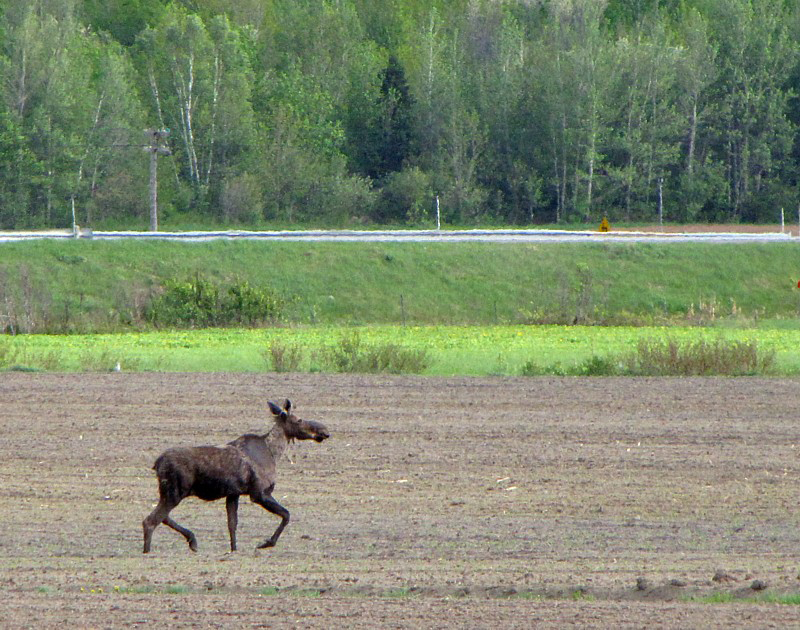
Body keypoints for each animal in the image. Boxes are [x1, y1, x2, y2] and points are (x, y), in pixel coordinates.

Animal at [143, 402, 328, 556]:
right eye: (299, 420)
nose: (324, 431)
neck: (274, 453)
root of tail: (156, 464)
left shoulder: (233, 494)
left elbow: (232, 524)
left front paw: (234, 550)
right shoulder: (259, 493)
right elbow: (286, 514)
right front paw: (266, 543)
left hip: (169, 493)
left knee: (162, 517)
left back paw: (191, 540)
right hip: (175, 492)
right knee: (151, 520)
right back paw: (150, 551)